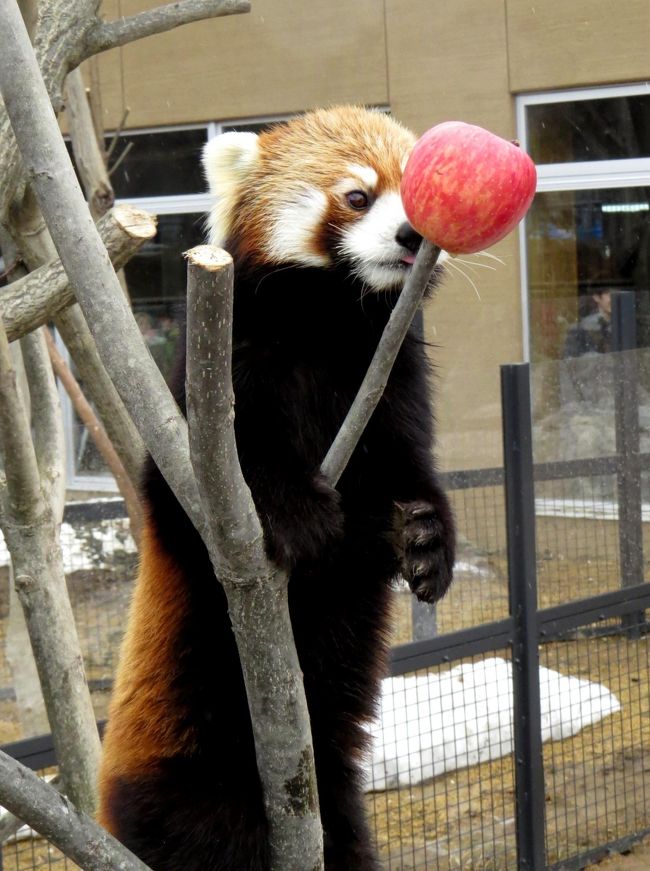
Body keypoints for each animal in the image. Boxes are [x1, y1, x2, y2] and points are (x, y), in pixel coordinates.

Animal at [98, 107, 454, 871]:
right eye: (357, 196)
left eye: (417, 190)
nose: (411, 235)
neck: (332, 325)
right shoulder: (219, 385)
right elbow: (213, 490)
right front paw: (297, 512)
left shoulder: (391, 385)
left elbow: (408, 478)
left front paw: (424, 538)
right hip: (183, 773)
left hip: (336, 802)